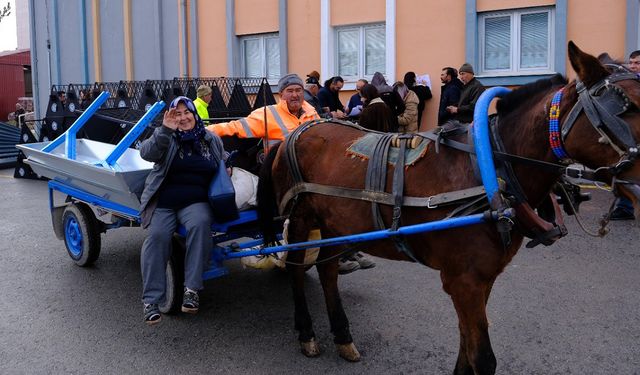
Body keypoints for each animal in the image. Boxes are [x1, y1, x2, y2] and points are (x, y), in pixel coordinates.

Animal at [258, 42, 640, 374]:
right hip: (301, 219)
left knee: (328, 270)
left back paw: (342, 336)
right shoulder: (464, 282)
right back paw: (307, 333)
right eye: (625, 108)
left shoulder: (482, 280)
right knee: (296, 268)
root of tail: (298, 132)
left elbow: (466, 349)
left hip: (337, 223)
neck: (490, 170)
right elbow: (482, 358)